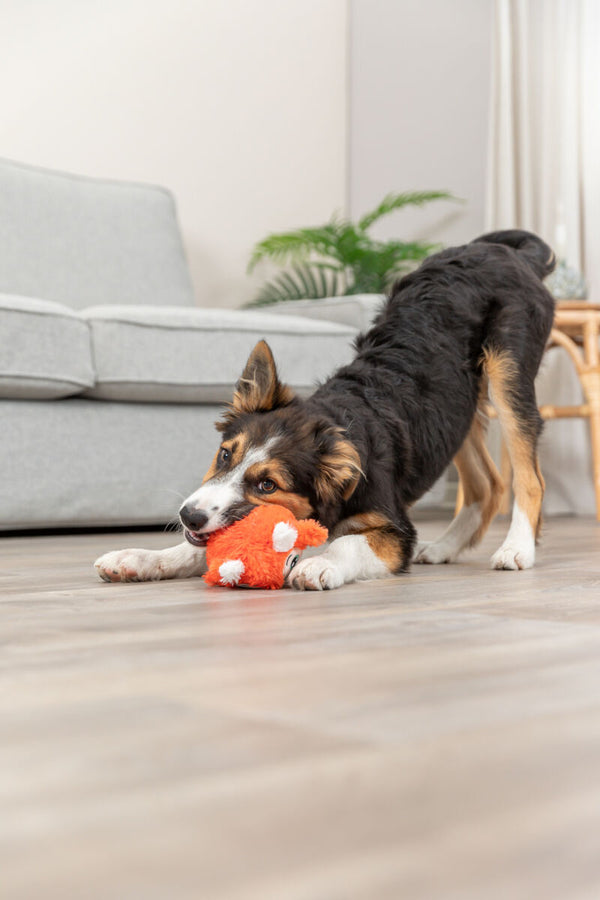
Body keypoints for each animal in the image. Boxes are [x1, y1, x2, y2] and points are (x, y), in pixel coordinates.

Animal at [96, 230, 556, 592]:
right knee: (489, 484)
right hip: (457, 408)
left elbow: (348, 542)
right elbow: (194, 549)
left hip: (506, 370)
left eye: (267, 485)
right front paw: (139, 558)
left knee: (528, 477)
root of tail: (506, 251)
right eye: (225, 455)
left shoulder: (395, 529)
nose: (187, 515)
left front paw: (320, 563)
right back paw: (445, 548)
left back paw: (516, 549)